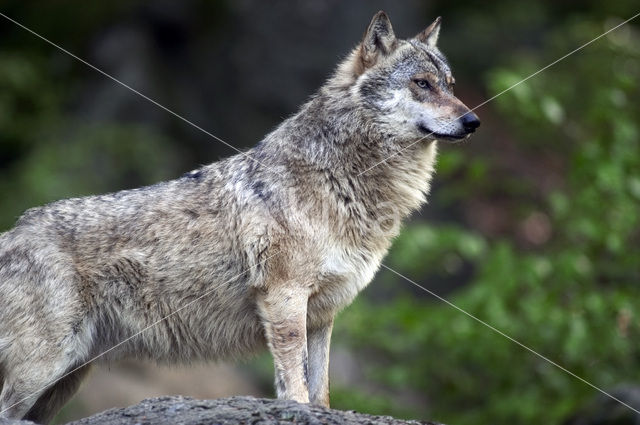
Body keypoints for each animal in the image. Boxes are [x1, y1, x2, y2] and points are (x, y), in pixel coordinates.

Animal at [0, 11, 478, 422]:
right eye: (421, 84)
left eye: (450, 85)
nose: (473, 121)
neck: (344, 182)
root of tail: (12, 232)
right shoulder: (284, 298)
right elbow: (294, 387)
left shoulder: (323, 316)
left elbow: (321, 393)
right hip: (40, 371)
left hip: (63, 382)